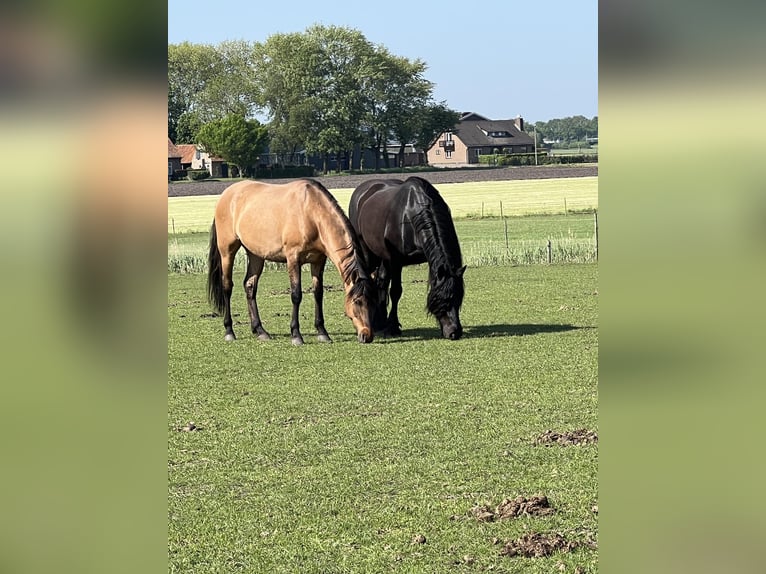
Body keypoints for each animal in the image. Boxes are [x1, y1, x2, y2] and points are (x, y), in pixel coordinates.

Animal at [208, 179, 380, 346]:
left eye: (374, 301)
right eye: (357, 301)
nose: (367, 335)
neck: (311, 213)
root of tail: (227, 194)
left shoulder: (318, 261)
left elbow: (318, 293)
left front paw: (322, 333)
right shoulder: (293, 258)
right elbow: (296, 295)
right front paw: (296, 335)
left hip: (256, 255)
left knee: (250, 286)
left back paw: (260, 331)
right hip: (227, 251)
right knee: (227, 286)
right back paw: (229, 331)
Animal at [350, 178, 468, 340]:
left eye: (458, 297)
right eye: (443, 299)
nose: (454, 332)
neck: (410, 214)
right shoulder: (395, 260)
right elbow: (396, 292)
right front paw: (393, 327)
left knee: (381, 282)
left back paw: (380, 322)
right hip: (368, 255)